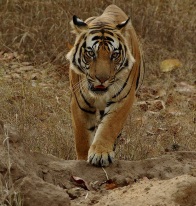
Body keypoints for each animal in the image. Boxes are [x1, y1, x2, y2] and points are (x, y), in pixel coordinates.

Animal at [66, 4, 144, 167]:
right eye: (91, 53)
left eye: (114, 55)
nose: (102, 79)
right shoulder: (80, 102)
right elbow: (82, 136)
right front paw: (82, 160)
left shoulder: (123, 98)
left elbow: (109, 126)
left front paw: (100, 154)